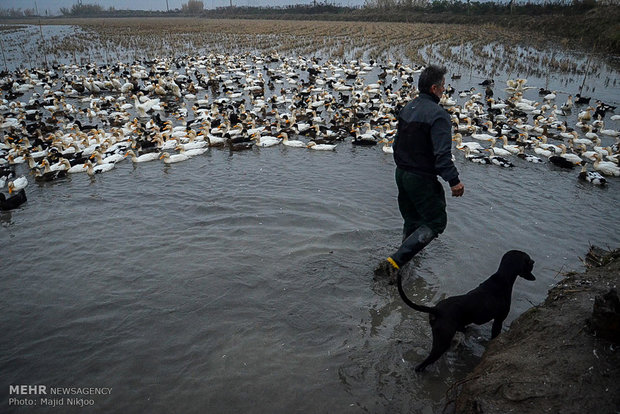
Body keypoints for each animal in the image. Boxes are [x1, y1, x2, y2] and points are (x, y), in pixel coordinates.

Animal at [400, 249, 536, 372]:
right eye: (529, 261)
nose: (534, 261)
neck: (502, 278)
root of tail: (436, 309)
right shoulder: (498, 320)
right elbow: (495, 335)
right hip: (442, 342)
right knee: (424, 363)